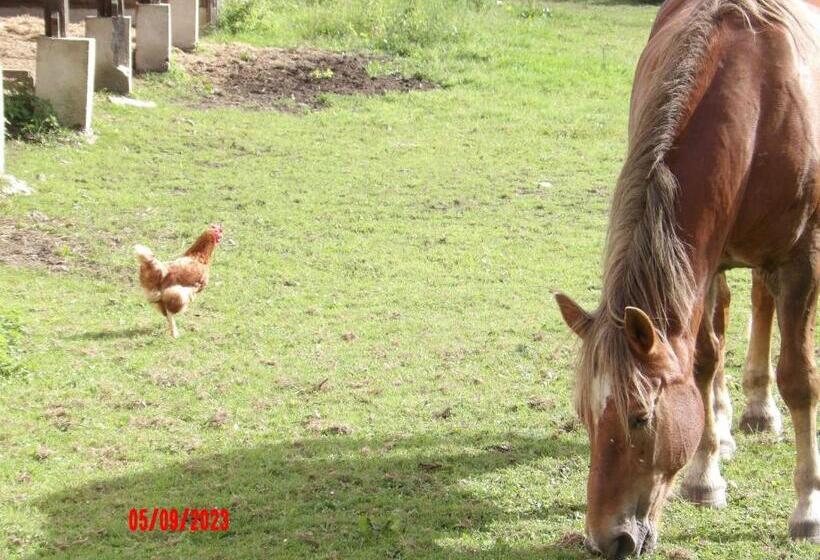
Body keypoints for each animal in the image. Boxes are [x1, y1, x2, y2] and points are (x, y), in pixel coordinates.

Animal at [554, 0, 819, 557]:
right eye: (586, 417)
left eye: (640, 418)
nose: (605, 539)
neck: (757, 94)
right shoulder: (703, 261)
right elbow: (701, 361)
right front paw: (705, 474)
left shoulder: (804, 258)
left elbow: (800, 378)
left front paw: (807, 506)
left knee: (763, 305)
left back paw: (761, 410)